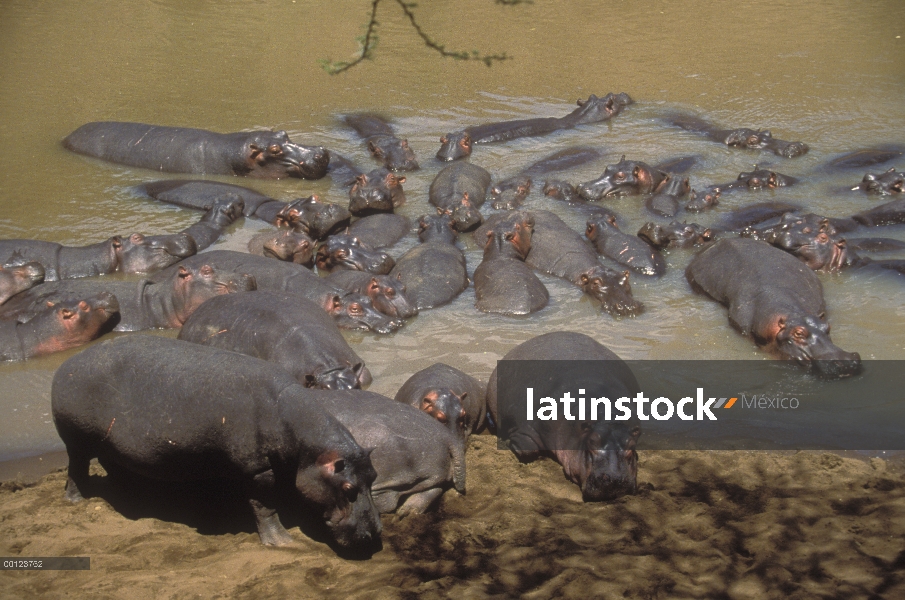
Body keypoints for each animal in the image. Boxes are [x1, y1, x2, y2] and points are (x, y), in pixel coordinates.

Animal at [52, 338, 382, 548]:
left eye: (374, 476)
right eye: (348, 488)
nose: (376, 533)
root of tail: (66, 365)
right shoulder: (258, 470)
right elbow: (265, 506)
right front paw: (282, 542)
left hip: (111, 442)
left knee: (112, 464)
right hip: (76, 439)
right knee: (76, 468)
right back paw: (76, 500)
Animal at [488, 332, 644, 502]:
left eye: (631, 445)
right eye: (592, 441)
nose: (615, 479)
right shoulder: (524, 426)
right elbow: (528, 449)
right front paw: (507, 443)